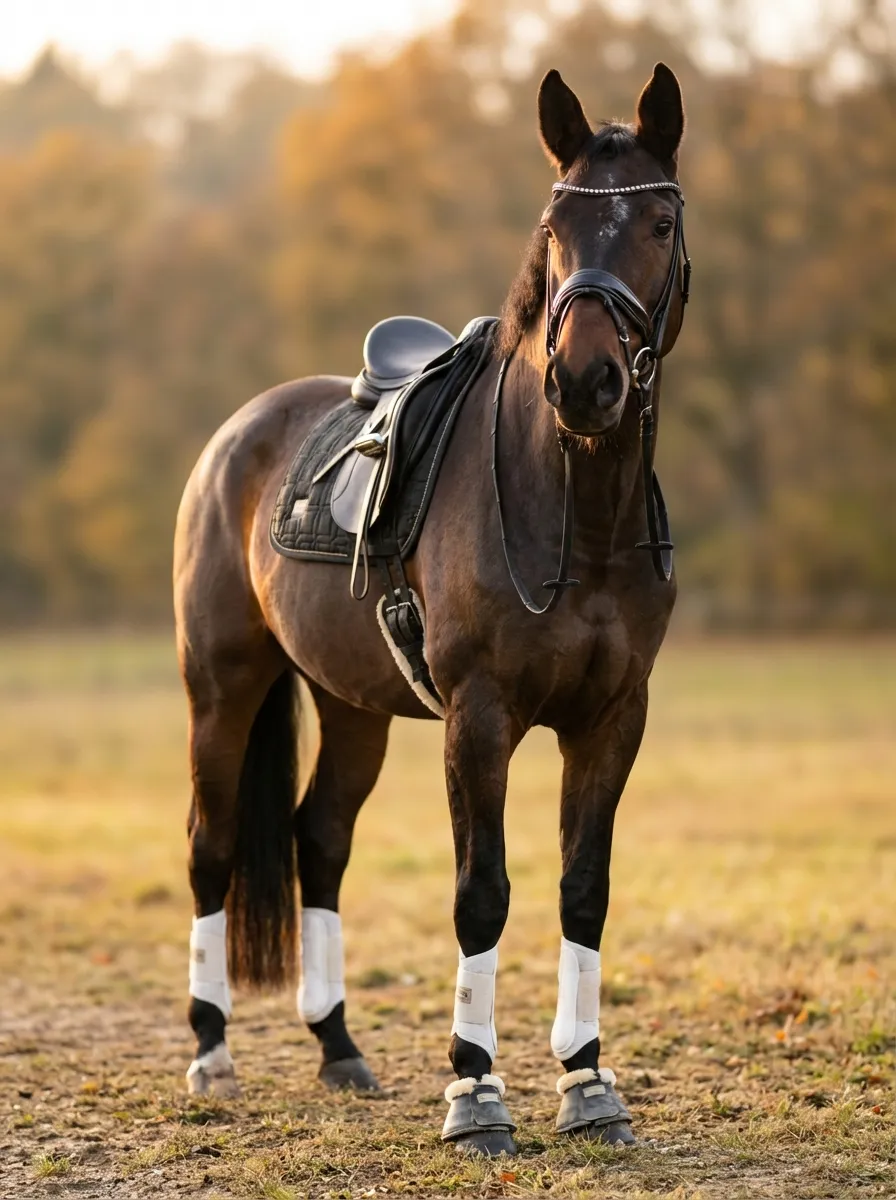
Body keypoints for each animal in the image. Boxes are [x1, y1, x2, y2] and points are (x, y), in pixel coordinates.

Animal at [174, 62, 690, 1156]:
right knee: (210, 845)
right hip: (221, 687)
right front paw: (474, 1094)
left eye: (660, 220)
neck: (572, 511)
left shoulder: (612, 718)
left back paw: (338, 1048)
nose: (584, 381)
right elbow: (480, 894)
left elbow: (583, 888)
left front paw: (588, 1083)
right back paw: (210, 1053)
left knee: (319, 838)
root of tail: (240, 432)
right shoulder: (479, 718)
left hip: (352, 705)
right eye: (555, 226)